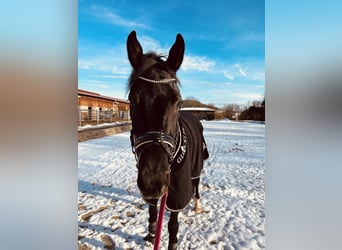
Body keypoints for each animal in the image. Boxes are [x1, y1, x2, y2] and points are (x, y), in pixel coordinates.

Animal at [126, 31, 208, 250]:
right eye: (132, 100)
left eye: (177, 101)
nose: (153, 180)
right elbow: (153, 211)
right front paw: (151, 232)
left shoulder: (178, 191)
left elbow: (173, 224)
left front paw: (172, 243)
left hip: (196, 167)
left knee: (196, 185)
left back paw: (197, 205)